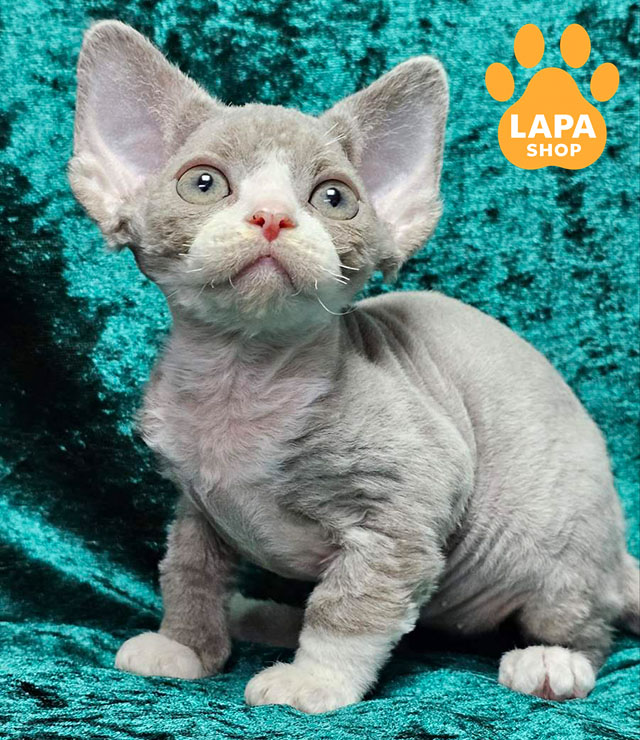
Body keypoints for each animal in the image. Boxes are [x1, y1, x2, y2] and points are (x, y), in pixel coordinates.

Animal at [69, 20, 639, 713]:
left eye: (334, 198)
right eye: (203, 184)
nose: (272, 217)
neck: (239, 379)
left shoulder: (402, 514)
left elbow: (352, 607)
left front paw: (313, 681)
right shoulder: (197, 506)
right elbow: (188, 571)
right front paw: (184, 646)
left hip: (554, 546)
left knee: (586, 624)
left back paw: (552, 662)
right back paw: (263, 617)